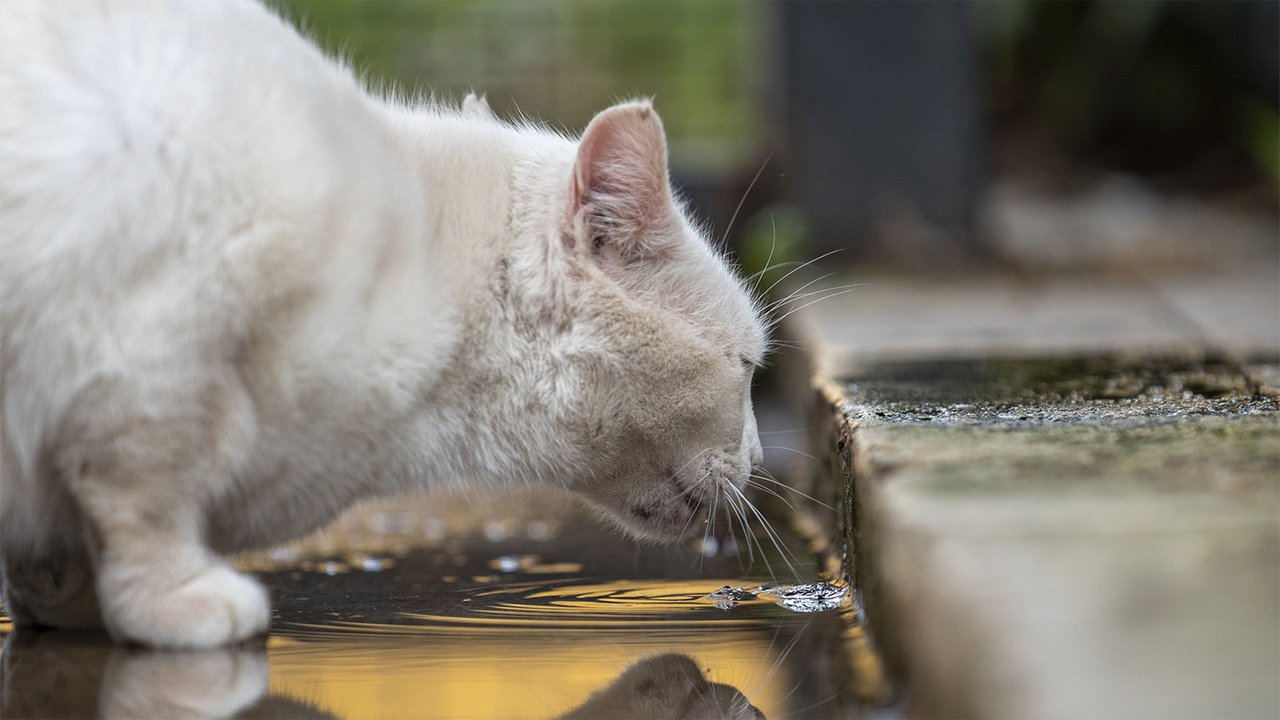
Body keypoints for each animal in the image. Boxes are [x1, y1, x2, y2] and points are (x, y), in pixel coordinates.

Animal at [0, 0, 762, 648]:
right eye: (749, 365)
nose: (758, 456)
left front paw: (65, 602)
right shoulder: (149, 365)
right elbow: (142, 503)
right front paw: (174, 602)